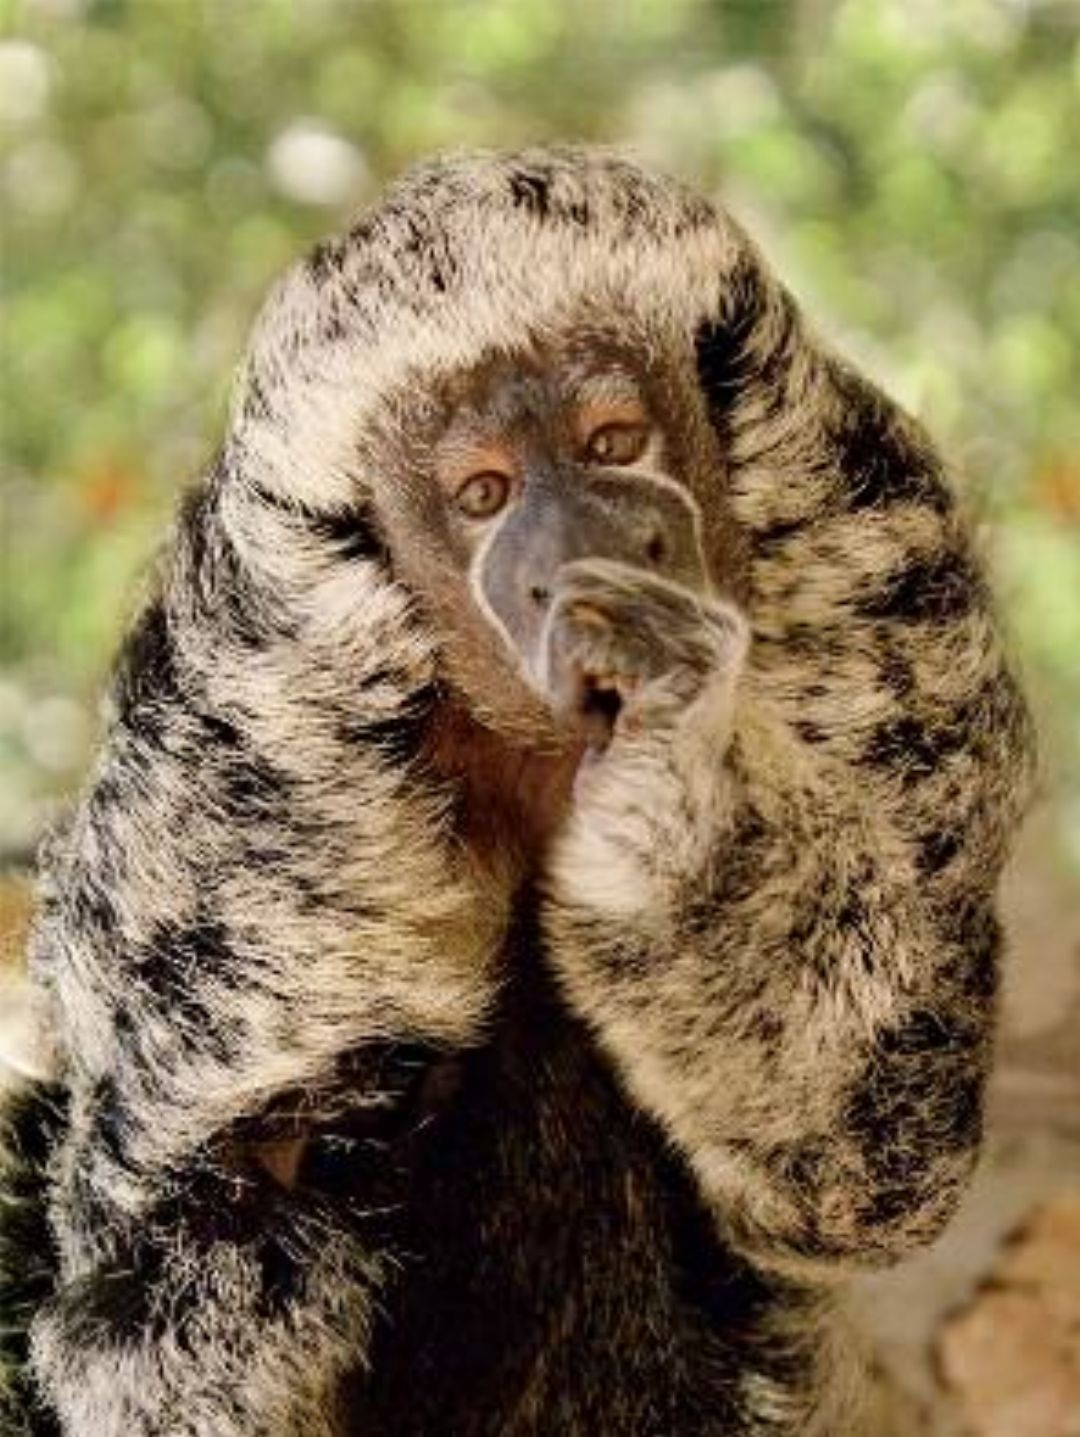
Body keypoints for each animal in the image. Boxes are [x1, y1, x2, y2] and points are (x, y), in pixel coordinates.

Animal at [0, 145, 1034, 1436]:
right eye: (485, 495)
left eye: (614, 443)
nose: (581, 545)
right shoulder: (251, 745)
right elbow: (203, 1218)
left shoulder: (881, 581)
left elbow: (870, 1156)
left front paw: (672, 785)